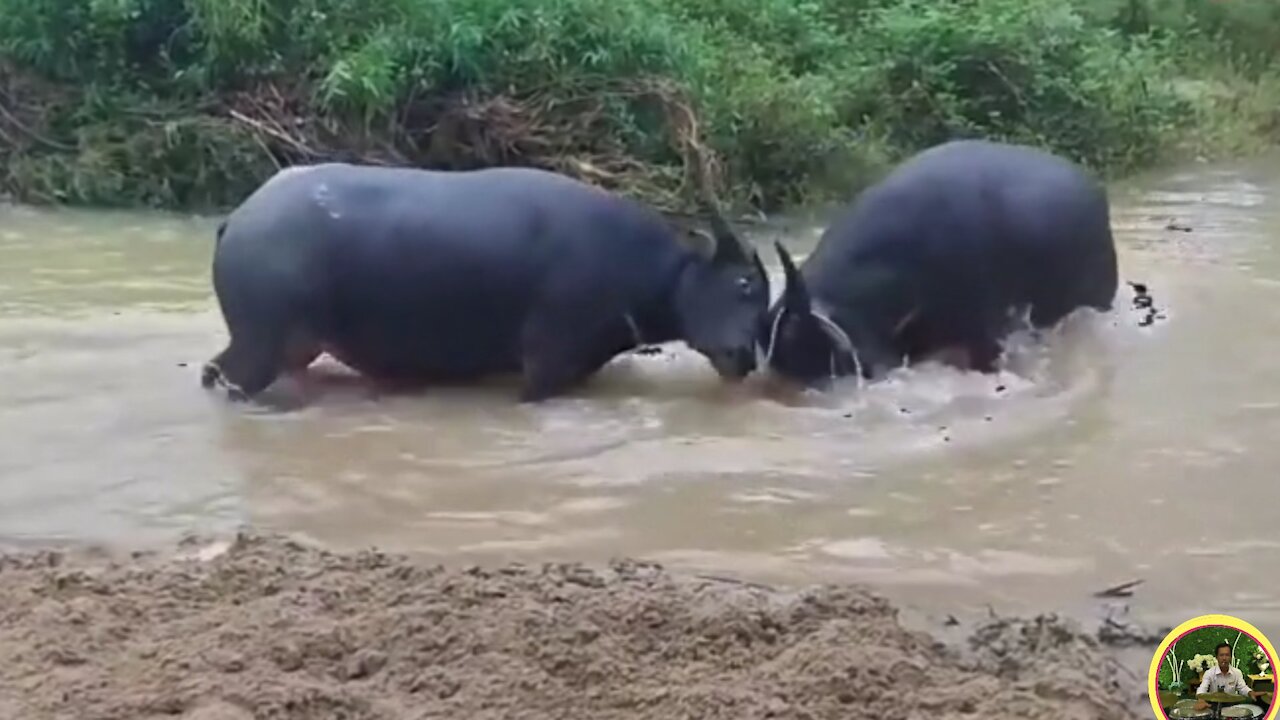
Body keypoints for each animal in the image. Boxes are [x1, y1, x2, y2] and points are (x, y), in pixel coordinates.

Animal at [199, 160, 768, 399]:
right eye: (745, 285)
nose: (746, 357)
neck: (649, 270)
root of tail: (240, 218)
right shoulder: (545, 362)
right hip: (261, 344)